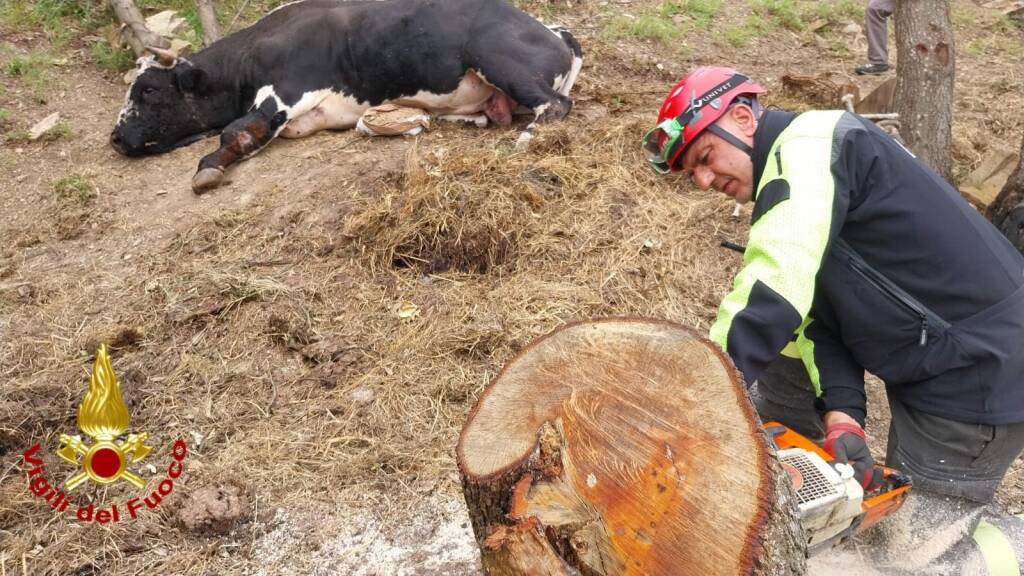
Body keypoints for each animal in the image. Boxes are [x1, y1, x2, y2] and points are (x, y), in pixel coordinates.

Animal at [110, 0, 585, 192]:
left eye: (148, 89)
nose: (114, 138)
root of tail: (553, 32)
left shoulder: (285, 91)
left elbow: (238, 131)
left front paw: (208, 167)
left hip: (497, 58)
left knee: (557, 105)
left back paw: (527, 139)